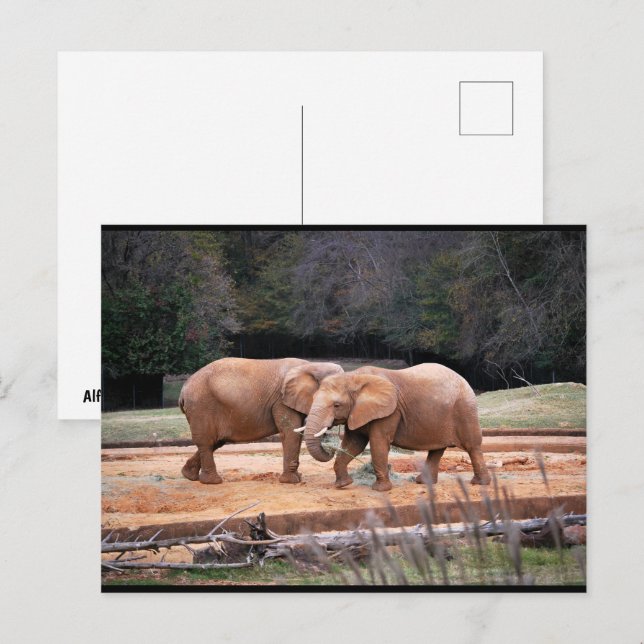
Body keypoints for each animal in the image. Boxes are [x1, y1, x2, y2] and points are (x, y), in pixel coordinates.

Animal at [178, 357, 343, 484]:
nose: (330, 445)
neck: (312, 365)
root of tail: (183, 390)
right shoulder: (281, 401)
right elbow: (291, 432)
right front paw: (291, 481)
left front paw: (297, 477)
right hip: (201, 407)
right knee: (207, 442)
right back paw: (213, 482)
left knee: (216, 441)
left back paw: (189, 475)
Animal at [300, 364, 491, 492]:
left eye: (336, 405)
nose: (328, 447)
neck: (353, 377)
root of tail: (464, 379)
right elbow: (353, 444)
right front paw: (343, 485)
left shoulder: (390, 411)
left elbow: (378, 443)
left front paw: (380, 489)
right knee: (437, 450)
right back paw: (423, 482)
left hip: (464, 409)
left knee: (472, 446)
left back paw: (480, 484)